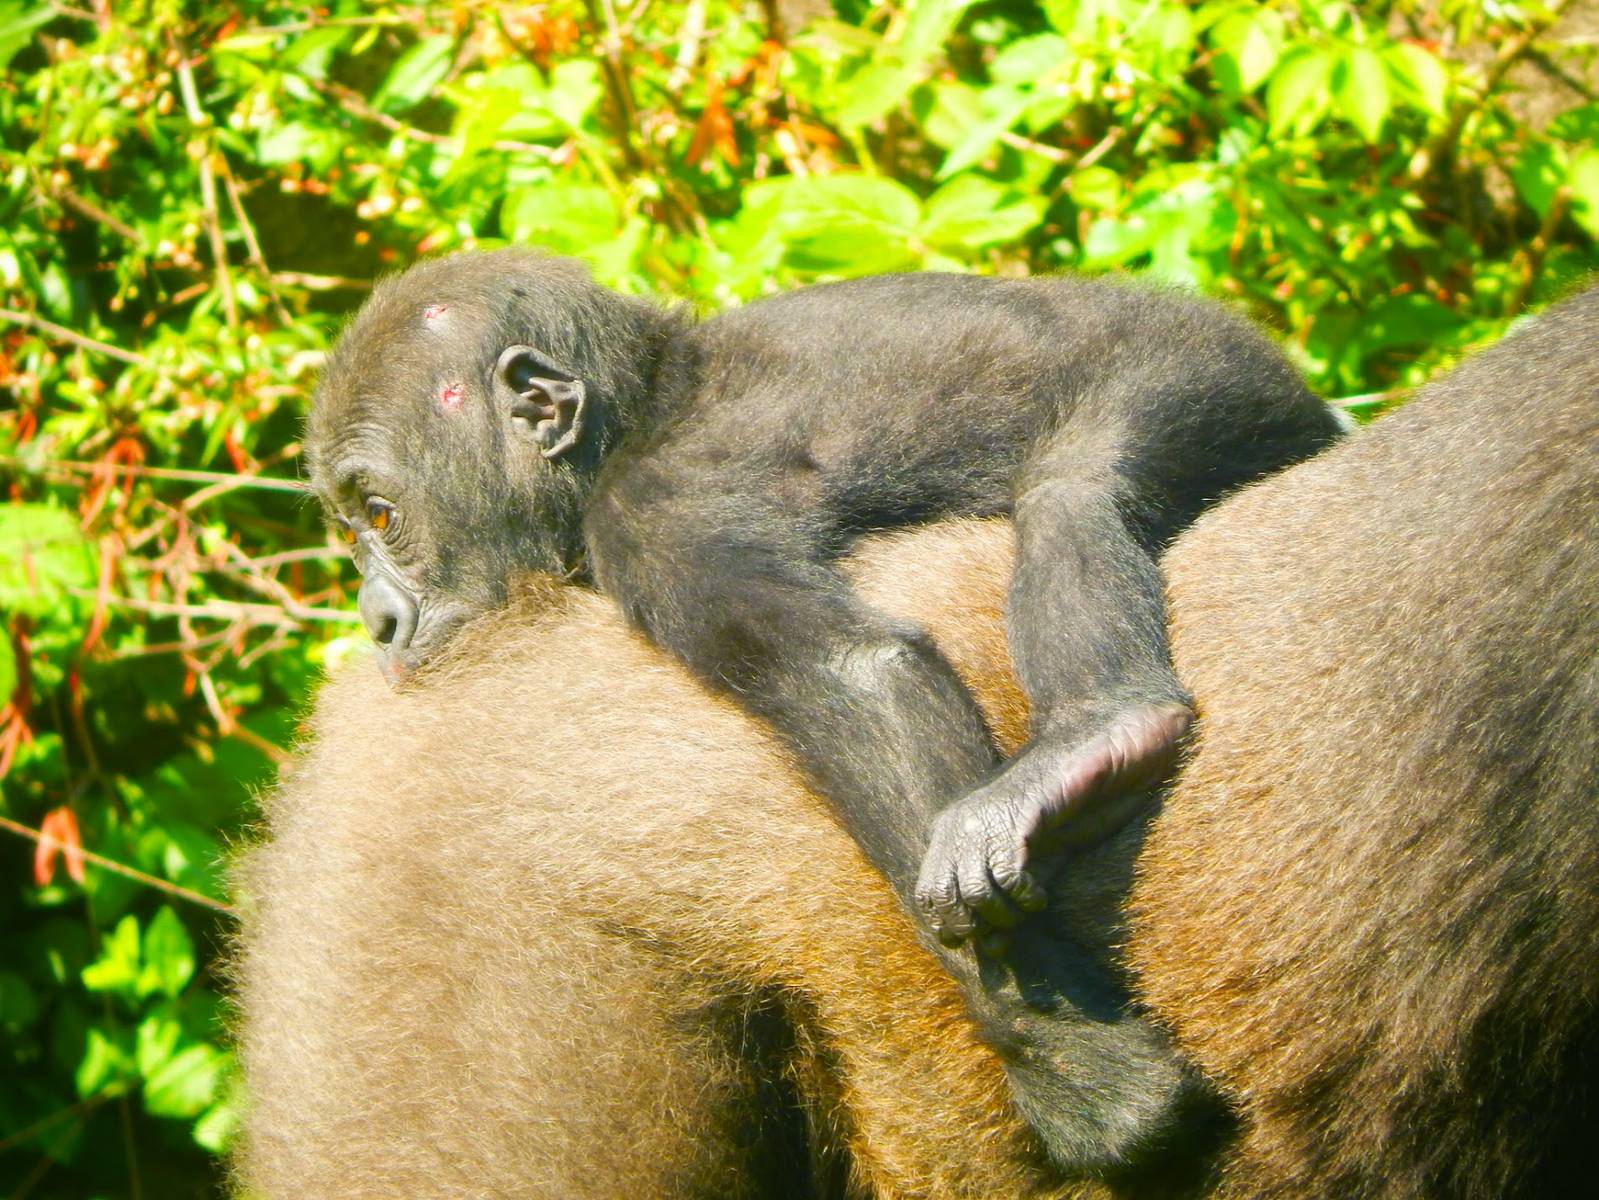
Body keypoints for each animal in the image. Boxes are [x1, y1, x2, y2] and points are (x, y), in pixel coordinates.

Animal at [238, 284, 1598, 1198]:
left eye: (378, 515)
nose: (377, 620)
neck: (646, 392)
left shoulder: (658, 516)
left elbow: (855, 679)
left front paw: (1081, 1073)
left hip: (1201, 371)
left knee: (1079, 487)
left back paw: (1102, 735)